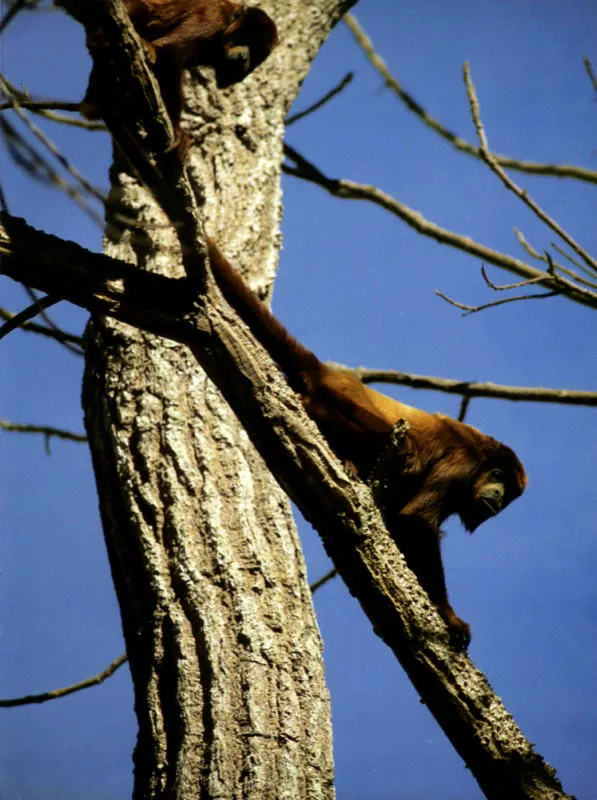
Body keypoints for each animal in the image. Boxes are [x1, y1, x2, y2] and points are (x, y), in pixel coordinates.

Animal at [205, 241, 528, 648]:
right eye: (497, 475)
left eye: (510, 493)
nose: (499, 496)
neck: (482, 457)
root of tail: (331, 373)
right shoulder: (462, 463)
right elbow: (416, 520)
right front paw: (450, 617)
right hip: (339, 402)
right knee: (400, 448)